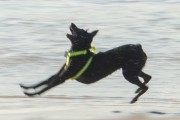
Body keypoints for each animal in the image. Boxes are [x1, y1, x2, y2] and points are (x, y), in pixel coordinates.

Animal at [20, 23, 151, 103]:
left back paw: (134, 98)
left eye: (80, 31)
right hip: (133, 69)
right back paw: (137, 90)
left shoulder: (62, 77)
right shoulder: (59, 73)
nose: (72, 23)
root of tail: (138, 47)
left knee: (145, 86)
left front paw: (32, 94)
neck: (78, 52)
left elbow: (48, 86)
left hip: (129, 73)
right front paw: (27, 87)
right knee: (147, 78)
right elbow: (44, 81)